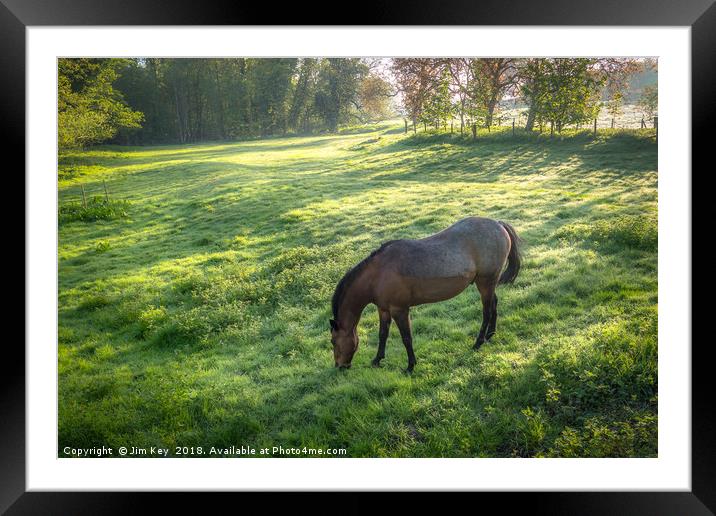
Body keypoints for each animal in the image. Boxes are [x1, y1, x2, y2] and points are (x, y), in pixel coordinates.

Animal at [328, 216, 520, 372]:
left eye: (333, 341)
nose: (340, 366)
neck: (377, 275)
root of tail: (498, 224)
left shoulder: (400, 310)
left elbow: (407, 338)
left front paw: (410, 366)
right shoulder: (383, 310)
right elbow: (382, 335)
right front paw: (377, 360)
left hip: (485, 282)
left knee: (486, 311)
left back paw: (478, 342)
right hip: (489, 284)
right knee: (494, 304)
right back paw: (490, 334)